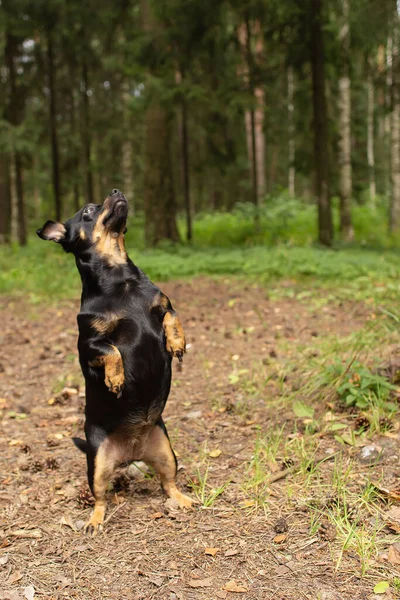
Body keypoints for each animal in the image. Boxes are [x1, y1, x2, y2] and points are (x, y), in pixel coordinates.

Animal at [37, 189, 194, 536]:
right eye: (87, 211)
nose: (116, 192)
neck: (121, 280)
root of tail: (131, 452)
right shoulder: (88, 344)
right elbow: (112, 351)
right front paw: (116, 379)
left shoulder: (164, 307)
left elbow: (173, 317)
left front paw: (176, 342)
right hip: (97, 463)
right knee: (100, 497)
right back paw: (94, 521)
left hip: (167, 452)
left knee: (168, 483)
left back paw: (184, 500)